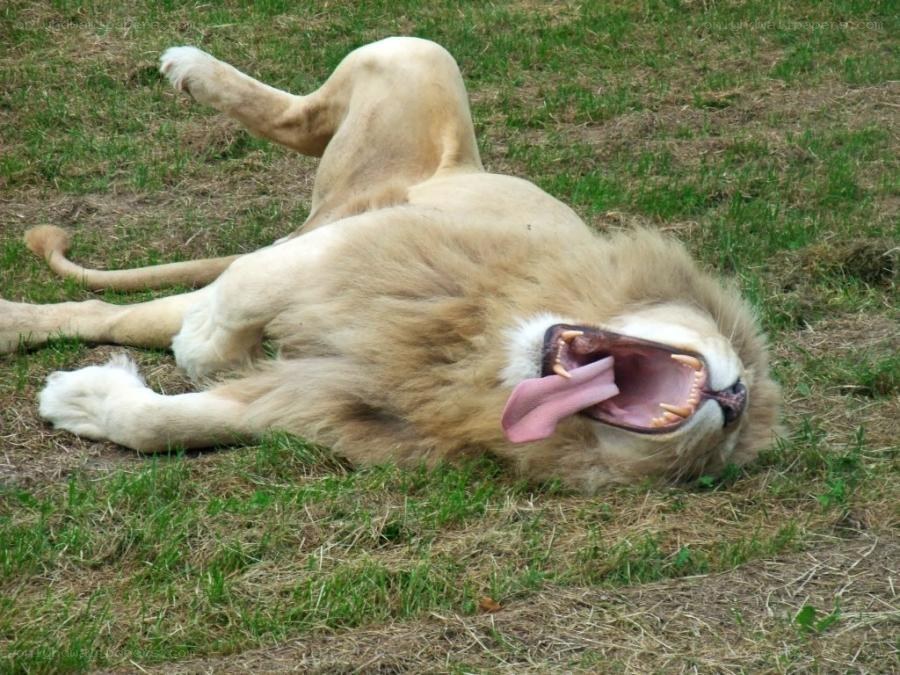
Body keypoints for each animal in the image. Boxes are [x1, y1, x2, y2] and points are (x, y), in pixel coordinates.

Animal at [0, 38, 780, 493]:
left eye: (711, 451)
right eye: (735, 359)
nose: (733, 399)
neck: (477, 354)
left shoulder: (328, 399)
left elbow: (174, 423)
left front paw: (77, 399)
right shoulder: (360, 247)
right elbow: (240, 304)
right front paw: (204, 348)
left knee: (107, 312)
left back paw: (16, 324)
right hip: (416, 62)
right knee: (297, 124)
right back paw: (188, 67)